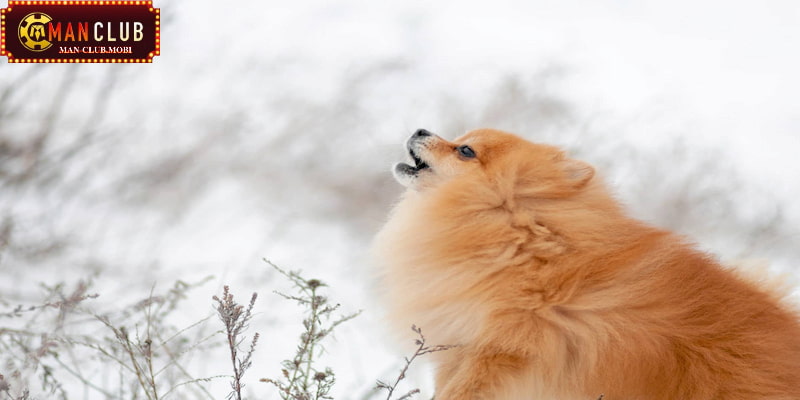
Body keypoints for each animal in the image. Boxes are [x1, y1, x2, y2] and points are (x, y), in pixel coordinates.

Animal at [374, 129, 800, 400]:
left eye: (464, 150)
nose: (420, 128)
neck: (517, 245)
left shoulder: (507, 348)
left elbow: (462, 389)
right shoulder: (462, 343)